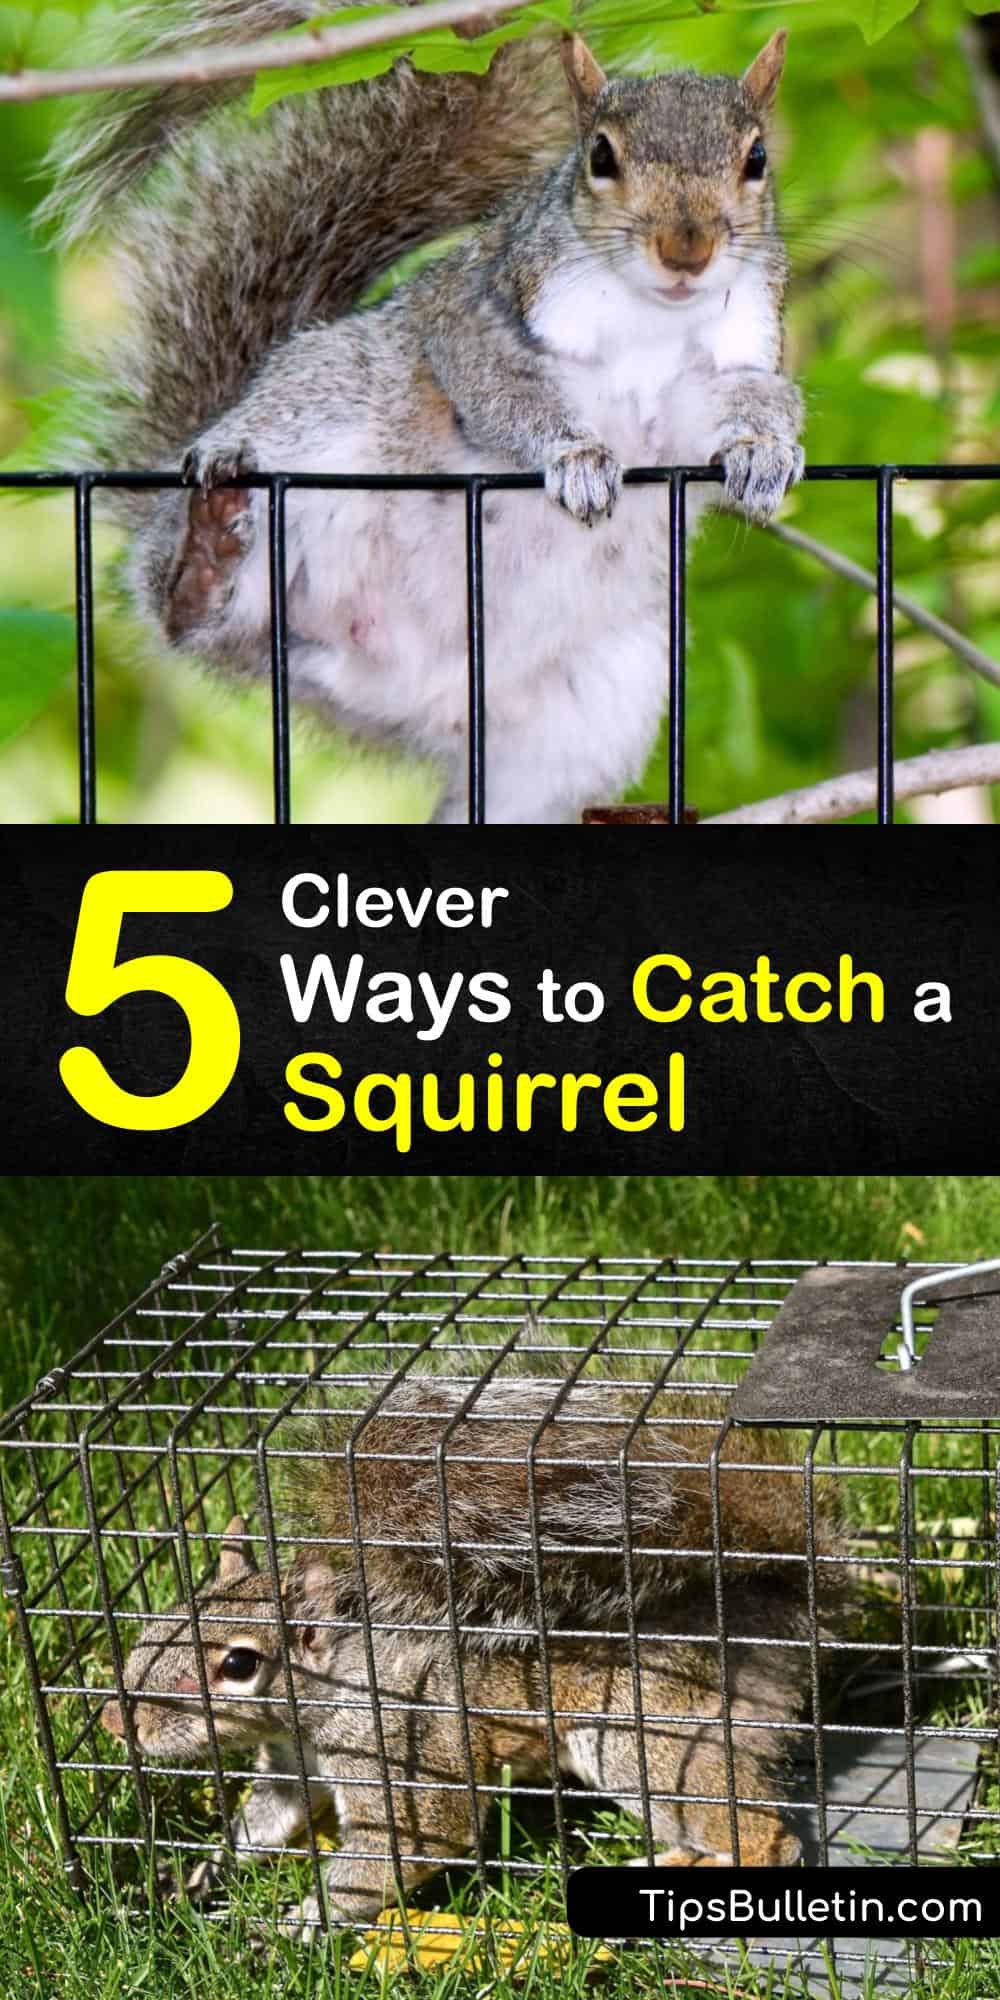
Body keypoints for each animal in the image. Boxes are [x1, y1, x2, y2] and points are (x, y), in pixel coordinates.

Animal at [46, 3, 804, 825]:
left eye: (757, 159)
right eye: (600, 156)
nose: (685, 249)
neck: (652, 323)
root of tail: (400, 688)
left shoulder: (726, 369)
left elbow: (749, 406)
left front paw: (764, 452)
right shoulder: (470, 318)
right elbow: (504, 392)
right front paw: (575, 458)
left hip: (591, 714)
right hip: (321, 419)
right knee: (191, 609)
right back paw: (206, 553)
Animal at [101, 1374, 840, 1931]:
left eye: (239, 1665)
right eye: (166, 1616)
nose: (113, 1720)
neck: (335, 1689)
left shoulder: (407, 1753)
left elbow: (401, 1852)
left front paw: (292, 1928)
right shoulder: (290, 1766)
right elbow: (265, 1823)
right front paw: (194, 1873)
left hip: (642, 1737)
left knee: (766, 1841)